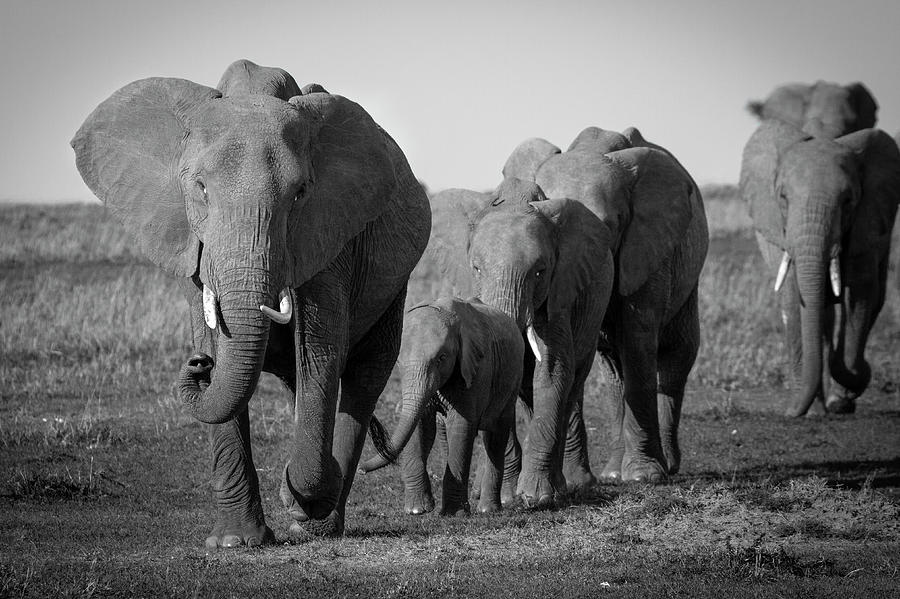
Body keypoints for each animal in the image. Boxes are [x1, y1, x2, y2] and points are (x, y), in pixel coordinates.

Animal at [72, 59, 430, 548]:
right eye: (200, 188)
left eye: (300, 194)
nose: (196, 365)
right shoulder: (194, 244)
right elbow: (224, 343)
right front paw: (233, 542)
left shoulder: (328, 235)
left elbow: (320, 352)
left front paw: (299, 495)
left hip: (394, 280)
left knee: (362, 375)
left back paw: (319, 519)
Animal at [358, 298, 524, 516]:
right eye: (399, 361)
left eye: (442, 358)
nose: (361, 469)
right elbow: (420, 425)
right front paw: (417, 510)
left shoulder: (475, 370)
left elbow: (461, 426)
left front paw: (454, 513)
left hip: (512, 381)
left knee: (496, 435)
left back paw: (488, 509)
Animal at [506, 126, 712, 488]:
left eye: (611, 227)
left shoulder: (646, 245)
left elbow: (638, 338)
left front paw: (644, 476)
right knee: (614, 370)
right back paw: (614, 472)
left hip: (687, 265)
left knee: (677, 354)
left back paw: (668, 466)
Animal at [740, 119, 900, 414]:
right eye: (783, 197)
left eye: (848, 201)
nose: (788, 413)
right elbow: (794, 298)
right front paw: (810, 412)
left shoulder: (867, 223)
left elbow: (860, 297)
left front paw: (844, 387)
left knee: (876, 298)